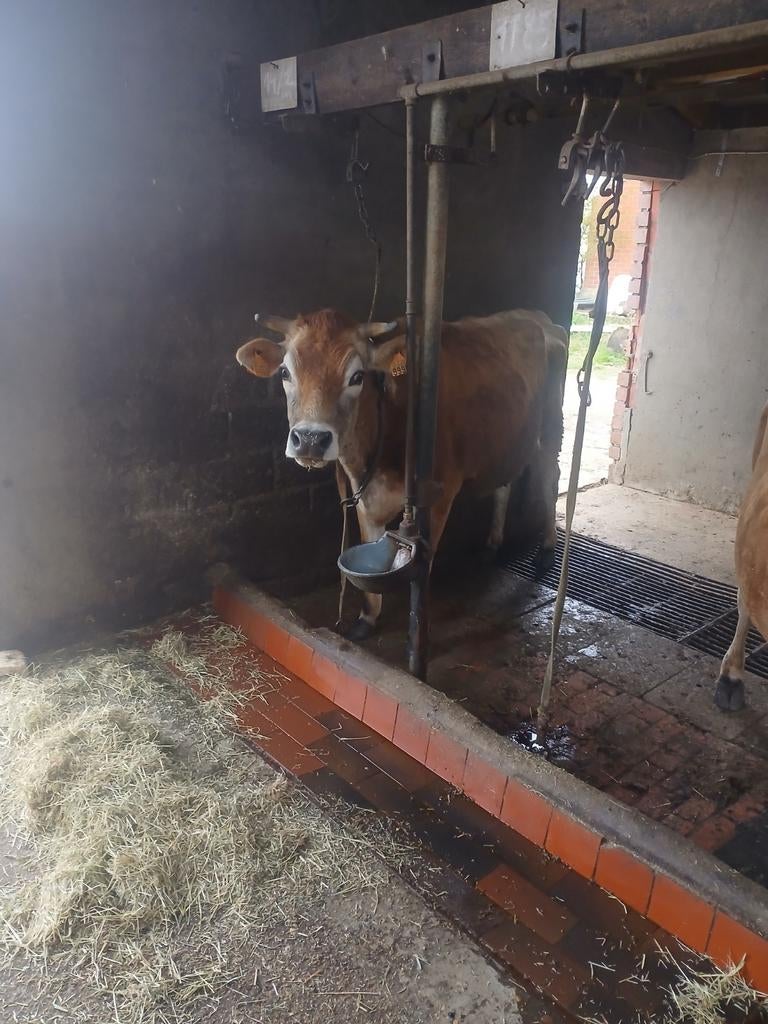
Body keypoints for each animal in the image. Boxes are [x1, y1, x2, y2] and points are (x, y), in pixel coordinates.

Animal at [235, 308, 568, 640]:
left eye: (357, 377)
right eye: (284, 373)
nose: (310, 439)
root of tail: (539, 317)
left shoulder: (440, 493)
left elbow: (423, 568)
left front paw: (417, 627)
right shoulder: (364, 494)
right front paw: (366, 620)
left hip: (552, 426)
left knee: (551, 479)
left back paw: (547, 550)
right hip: (507, 439)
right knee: (504, 485)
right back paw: (492, 545)